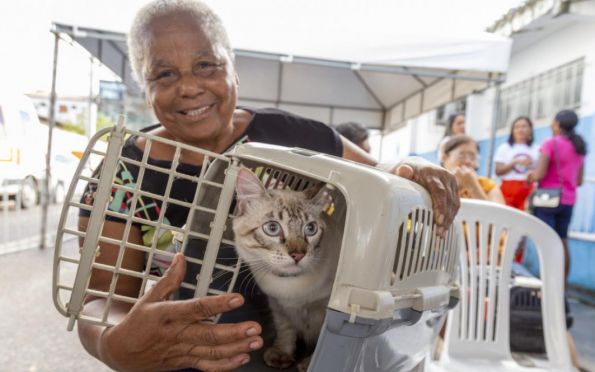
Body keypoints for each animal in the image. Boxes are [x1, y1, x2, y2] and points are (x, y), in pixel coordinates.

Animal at [233, 167, 340, 370]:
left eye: (311, 229)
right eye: (272, 228)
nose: (298, 255)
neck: (290, 285)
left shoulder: (324, 311)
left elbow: (322, 344)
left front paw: (309, 364)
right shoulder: (278, 304)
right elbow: (285, 329)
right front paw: (281, 354)